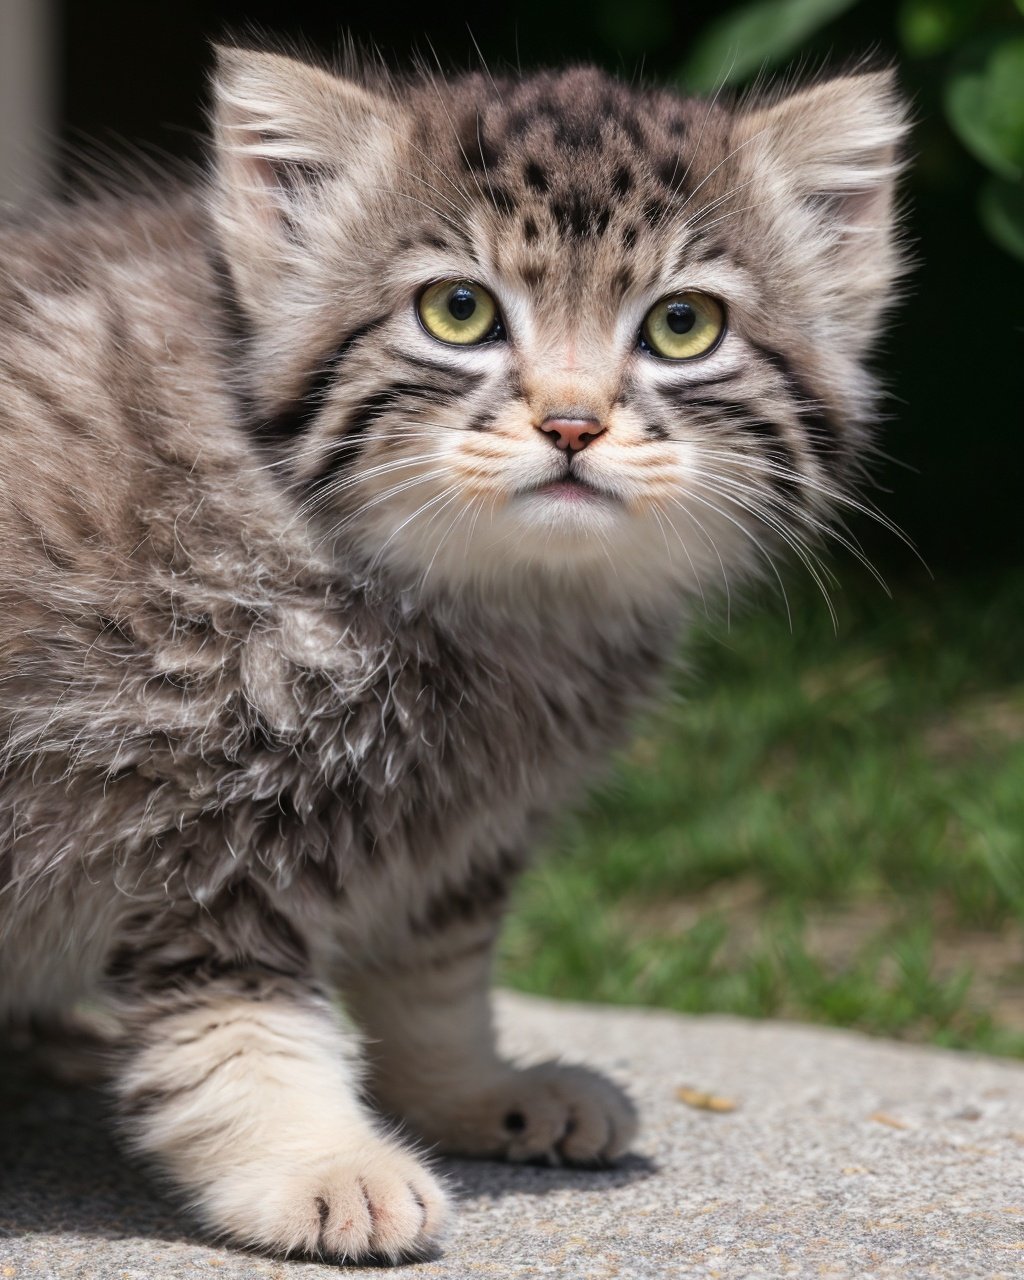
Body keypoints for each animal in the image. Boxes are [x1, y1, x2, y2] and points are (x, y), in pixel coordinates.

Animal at [2, 37, 906, 1259]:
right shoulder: (190, 805)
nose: (571, 423)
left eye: (683, 326)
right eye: (460, 311)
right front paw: (313, 1157)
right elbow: (235, 1016)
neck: (492, 609)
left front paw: (468, 1087)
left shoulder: (463, 823)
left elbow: (435, 972)